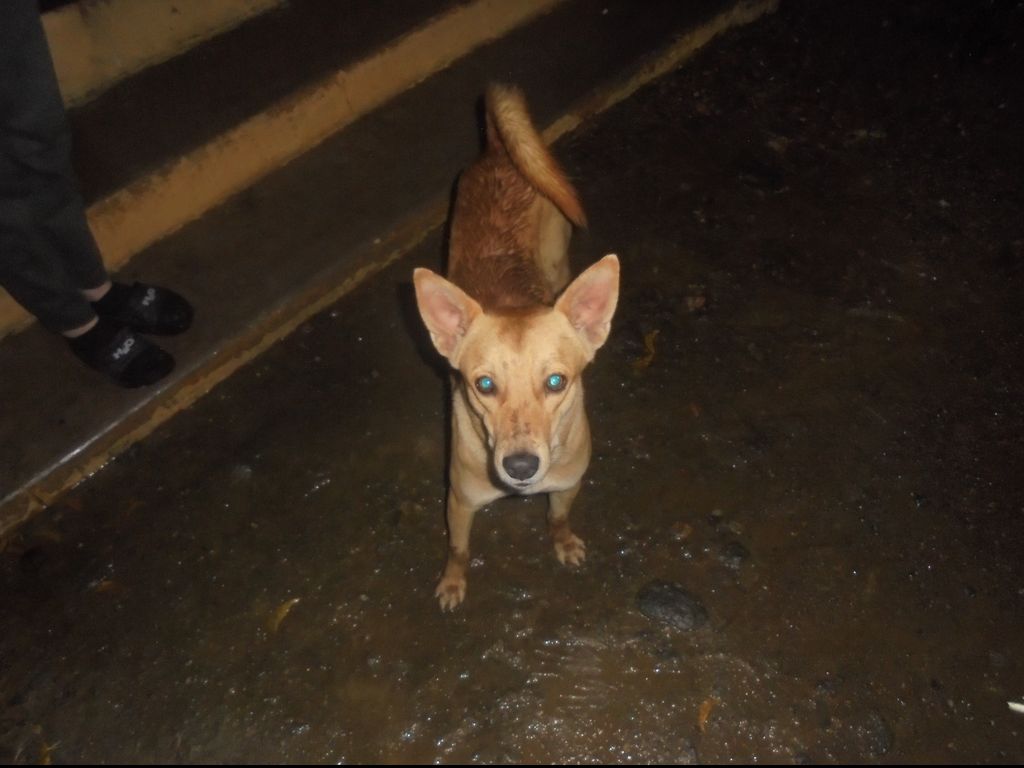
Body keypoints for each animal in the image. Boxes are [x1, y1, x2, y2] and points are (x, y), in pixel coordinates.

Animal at [413, 84, 619, 610]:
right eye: (484, 385)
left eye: (556, 381)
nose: (521, 467)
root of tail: (500, 150)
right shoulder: (459, 501)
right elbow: (458, 550)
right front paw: (452, 582)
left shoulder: (567, 485)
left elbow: (557, 518)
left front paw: (562, 542)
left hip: (558, 255)